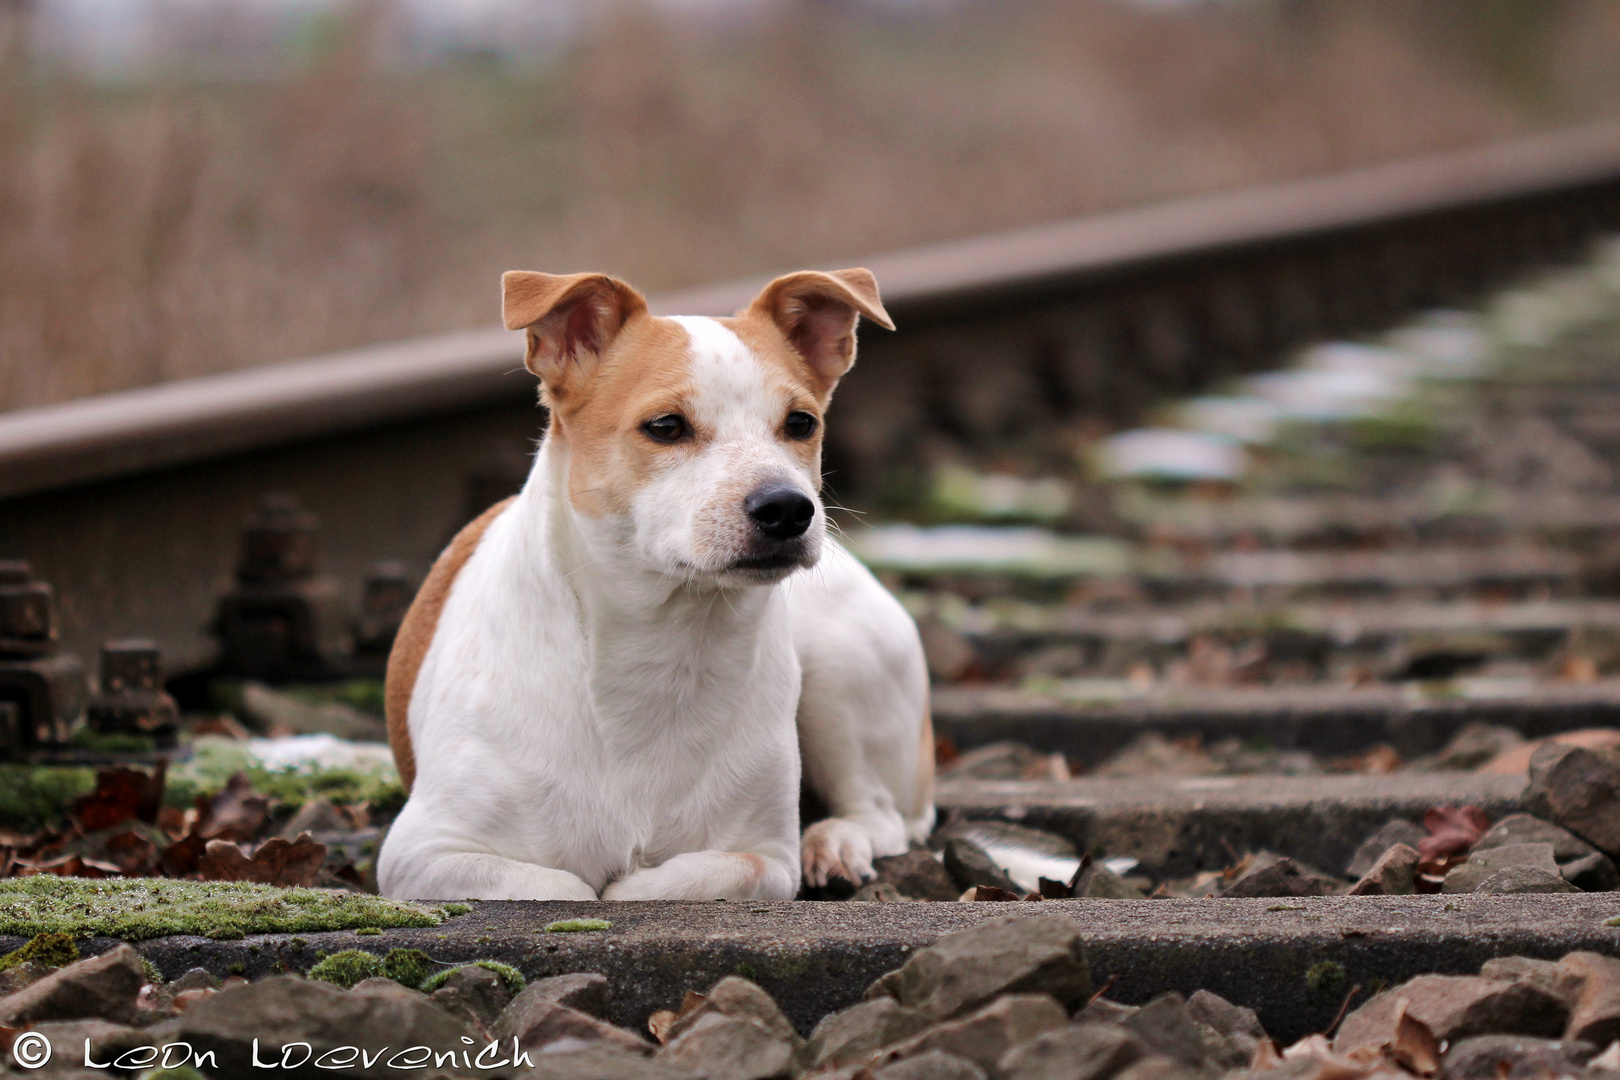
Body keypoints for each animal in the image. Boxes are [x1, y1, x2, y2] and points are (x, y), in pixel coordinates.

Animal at [377, 270, 933, 906]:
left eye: (801, 423)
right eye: (666, 427)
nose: (790, 507)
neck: (666, 645)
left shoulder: (767, 857)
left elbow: (690, 876)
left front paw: (636, 885)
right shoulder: (424, 854)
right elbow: (561, 887)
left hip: (844, 665)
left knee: (883, 815)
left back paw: (835, 843)